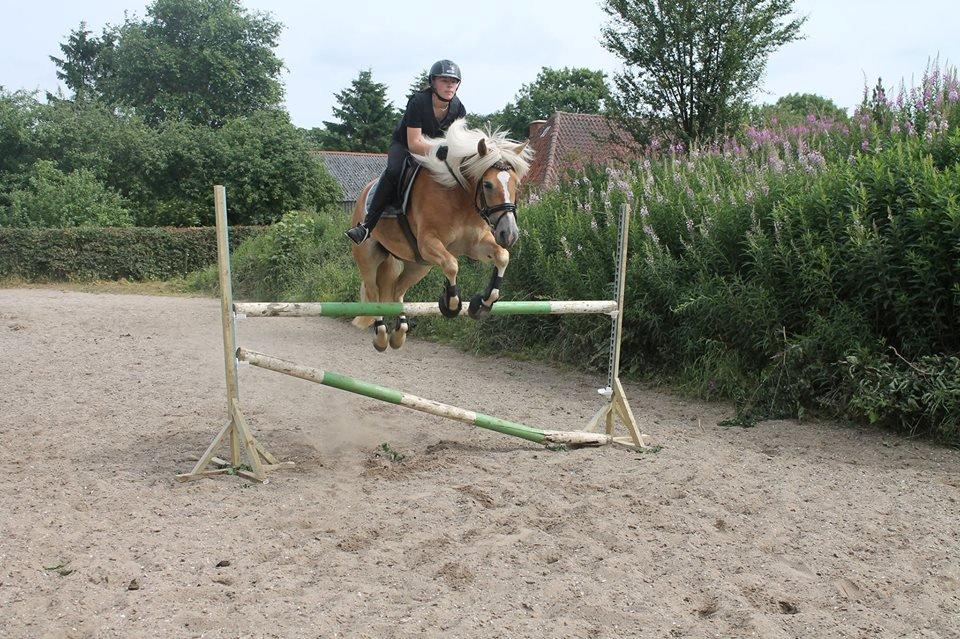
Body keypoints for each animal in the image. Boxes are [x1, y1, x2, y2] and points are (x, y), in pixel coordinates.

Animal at [350, 117, 532, 352]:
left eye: (516, 184)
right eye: (487, 184)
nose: (508, 234)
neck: (460, 197)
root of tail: (365, 192)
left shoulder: (476, 245)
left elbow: (502, 257)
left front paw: (482, 304)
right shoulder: (429, 242)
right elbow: (452, 264)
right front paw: (451, 305)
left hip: (418, 265)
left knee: (397, 291)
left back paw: (399, 333)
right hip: (369, 257)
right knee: (374, 295)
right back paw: (381, 336)